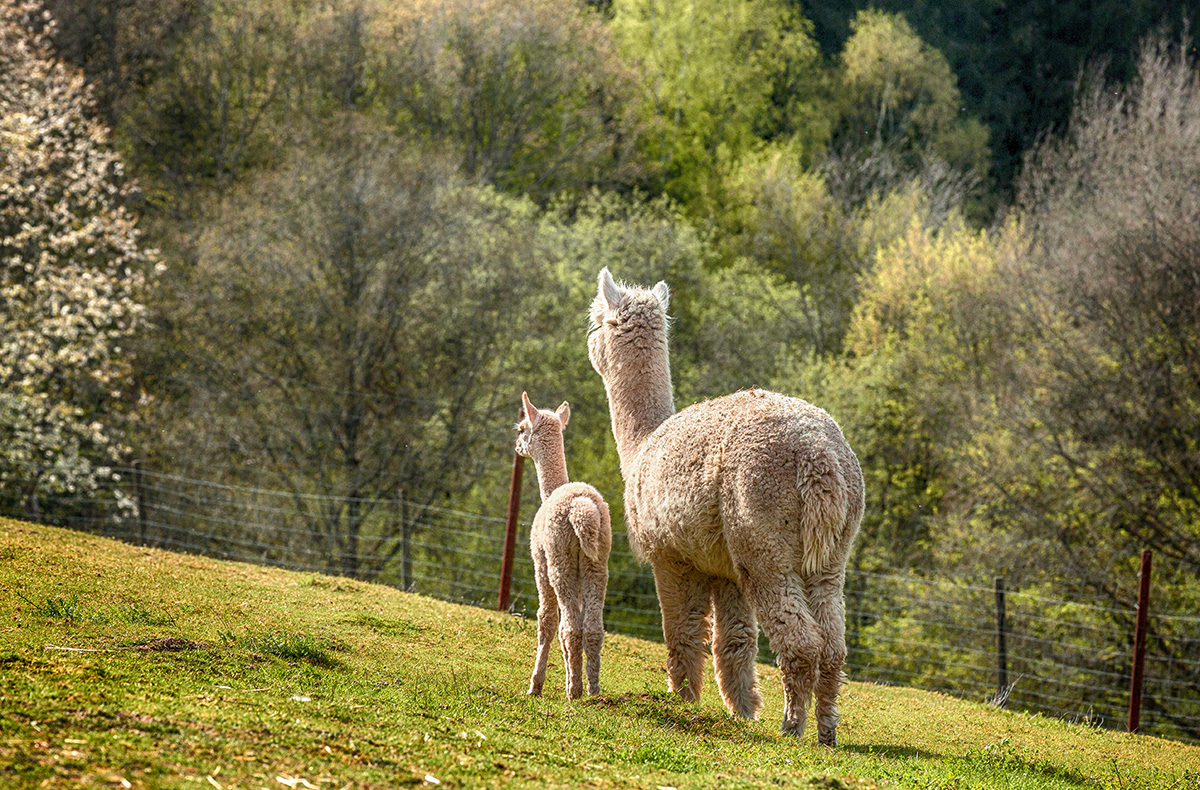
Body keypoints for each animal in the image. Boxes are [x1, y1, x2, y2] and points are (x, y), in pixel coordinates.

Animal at [515, 391, 612, 700]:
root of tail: (581, 509)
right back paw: (592, 688)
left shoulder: (540, 561)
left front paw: (535, 685)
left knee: (570, 625)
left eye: (521, 428)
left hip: (561, 560)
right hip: (596, 562)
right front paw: (571, 671)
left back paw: (575, 691)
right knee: (591, 627)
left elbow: (547, 620)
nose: (517, 447)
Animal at [585, 268, 864, 745]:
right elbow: (734, 642)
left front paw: (681, 700)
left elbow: (681, 633)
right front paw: (743, 711)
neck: (642, 445)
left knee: (800, 642)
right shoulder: (723, 569)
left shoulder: (671, 556)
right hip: (827, 554)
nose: (588, 344)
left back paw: (792, 727)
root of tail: (817, 455)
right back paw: (826, 730)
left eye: (595, 323)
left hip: (761, 534)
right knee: (832, 645)